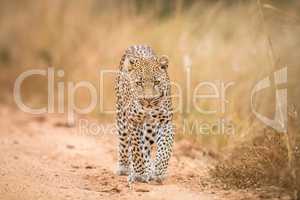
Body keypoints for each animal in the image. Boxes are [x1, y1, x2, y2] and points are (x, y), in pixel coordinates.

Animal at [116, 44, 175, 184]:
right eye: (139, 83)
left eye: (156, 82)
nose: (148, 99)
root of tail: (137, 44)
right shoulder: (133, 121)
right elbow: (137, 149)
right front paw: (139, 174)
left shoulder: (165, 121)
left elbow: (165, 147)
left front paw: (159, 172)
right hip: (122, 117)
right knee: (124, 142)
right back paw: (125, 167)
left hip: (150, 129)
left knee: (147, 147)